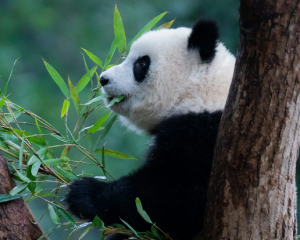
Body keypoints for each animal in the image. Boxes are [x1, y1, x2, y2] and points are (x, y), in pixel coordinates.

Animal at [65, 18, 234, 240]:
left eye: (142, 63)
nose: (103, 79)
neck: (198, 90)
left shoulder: (205, 135)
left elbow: (174, 197)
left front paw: (84, 193)